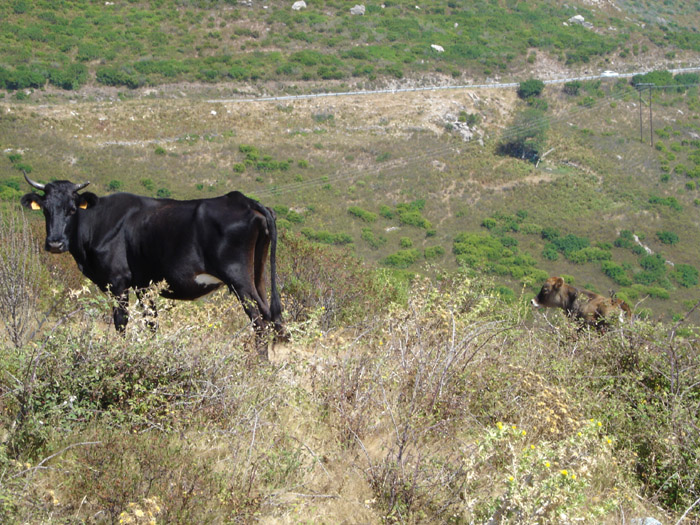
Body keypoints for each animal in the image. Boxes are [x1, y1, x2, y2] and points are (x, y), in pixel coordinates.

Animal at [21, 175, 284, 356]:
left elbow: (121, 322)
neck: (98, 223)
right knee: (273, 319)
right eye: (45, 209)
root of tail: (243, 200)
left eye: (72, 209)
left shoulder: (118, 282)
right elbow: (152, 322)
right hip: (257, 275)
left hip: (239, 280)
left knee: (260, 321)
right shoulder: (143, 285)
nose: (55, 243)